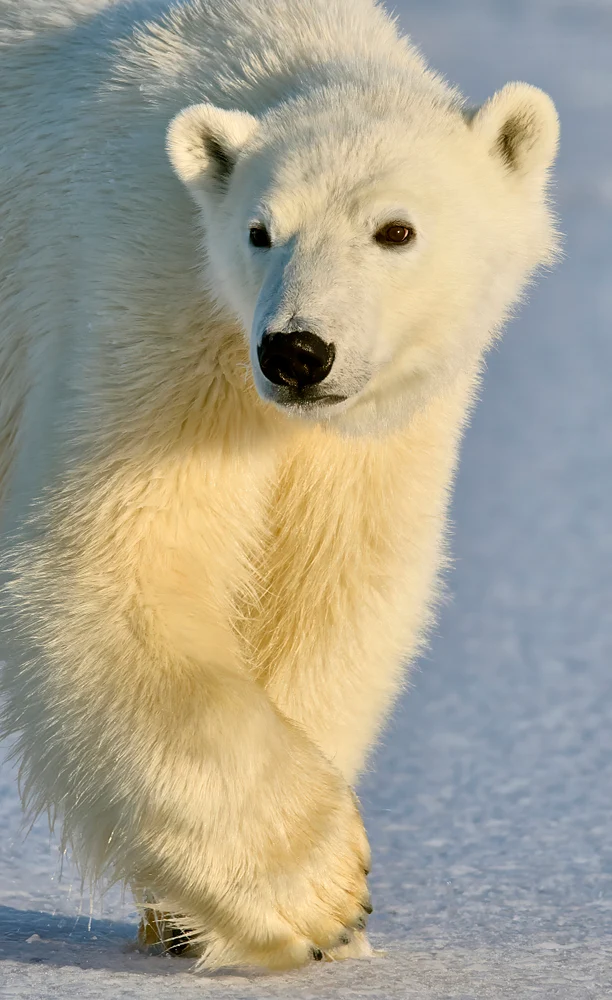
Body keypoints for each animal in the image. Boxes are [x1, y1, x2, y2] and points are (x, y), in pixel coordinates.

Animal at [0, 0, 559, 972]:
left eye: (395, 230)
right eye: (261, 231)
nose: (298, 351)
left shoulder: (374, 430)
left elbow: (329, 592)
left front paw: (194, 918)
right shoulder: (148, 306)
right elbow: (116, 567)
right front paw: (321, 893)